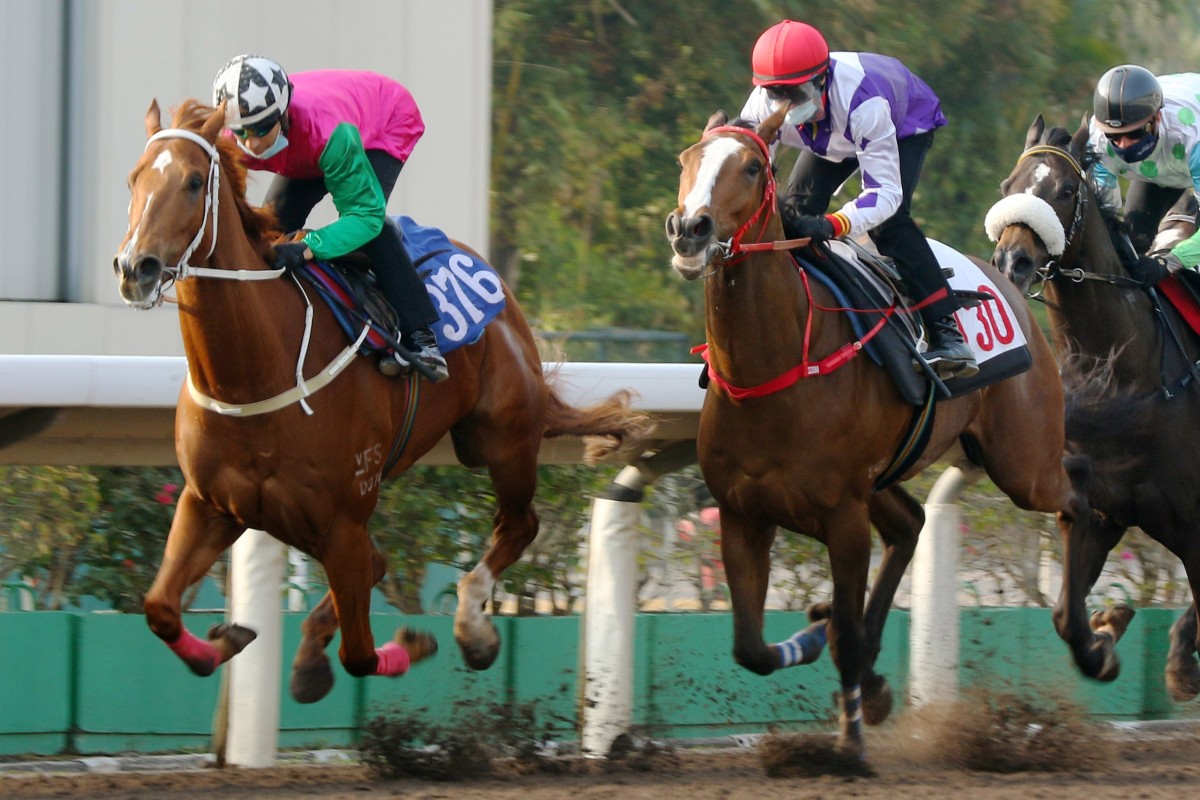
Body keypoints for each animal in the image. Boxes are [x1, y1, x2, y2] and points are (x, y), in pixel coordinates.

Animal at [111, 98, 652, 700]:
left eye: (191, 182)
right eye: (134, 178)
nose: (136, 268)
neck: (252, 376)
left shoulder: (343, 518)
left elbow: (361, 655)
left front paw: (411, 644)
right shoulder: (212, 503)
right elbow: (160, 609)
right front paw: (227, 641)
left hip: (501, 439)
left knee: (519, 526)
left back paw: (473, 629)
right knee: (385, 561)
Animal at [667, 109, 1089, 762]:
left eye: (754, 166)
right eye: (687, 159)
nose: (690, 228)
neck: (776, 366)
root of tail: (1009, 281)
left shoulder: (842, 515)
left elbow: (840, 627)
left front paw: (849, 745)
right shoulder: (741, 514)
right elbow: (752, 648)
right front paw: (817, 638)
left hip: (1024, 463)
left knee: (1077, 504)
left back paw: (1094, 642)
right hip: (886, 477)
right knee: (911, 524)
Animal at [988, 115, 1200, 705]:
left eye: (1064, 191)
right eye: (1008, 185)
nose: (1011, 261)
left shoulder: (1195, 522)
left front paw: (1179, 664)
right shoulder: (1099, 511)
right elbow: (1065, 616)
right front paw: (1107, 634)